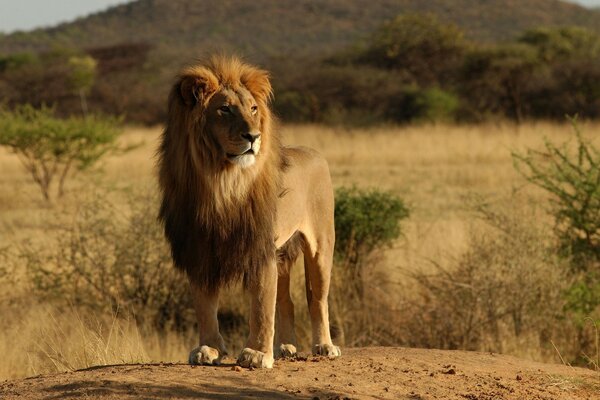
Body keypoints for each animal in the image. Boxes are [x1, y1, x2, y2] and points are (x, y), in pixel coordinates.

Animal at [157, 55, 340, 368]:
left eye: (253, 109)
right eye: (225, 109)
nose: (253, 136)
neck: (221, 182)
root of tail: (314, 152)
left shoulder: (259, 247)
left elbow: (261, 306)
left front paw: (256, 354)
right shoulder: (200, 248)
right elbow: (205, 305)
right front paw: (208, 349)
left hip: (321, 245)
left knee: (317, 299)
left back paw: (324, 346)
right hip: (283, 253)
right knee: (287, 300)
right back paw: (286, 347)